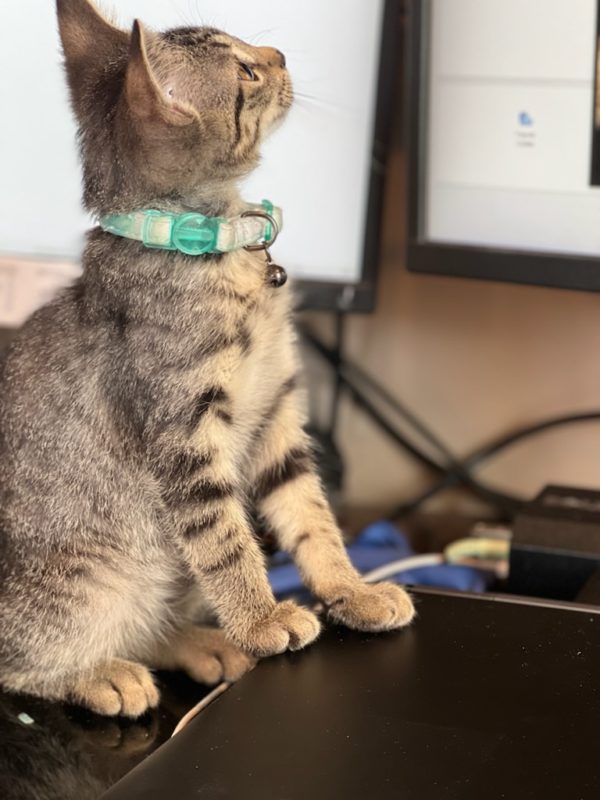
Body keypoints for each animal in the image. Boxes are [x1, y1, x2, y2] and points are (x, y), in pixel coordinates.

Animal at [0, 0, 412, 720]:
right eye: (246, 72)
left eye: (254, 51)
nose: (279, 55)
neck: (217, 249)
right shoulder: (185, 435)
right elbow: (226, 540)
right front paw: (263, 618)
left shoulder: (278, 410)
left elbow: (310, 513)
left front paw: (350, 590)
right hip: (92, 582)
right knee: (22, 660)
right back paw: (103, 674)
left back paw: (200, 643)